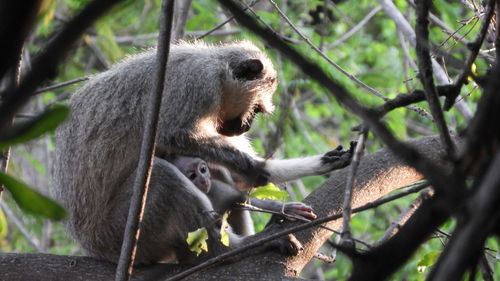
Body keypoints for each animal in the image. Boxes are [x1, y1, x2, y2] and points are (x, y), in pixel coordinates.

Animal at [169, 153, 316, 232]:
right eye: (192, 176)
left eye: (203, 170)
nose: (204, 180)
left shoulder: (216, 187)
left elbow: (242, 200)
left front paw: (283, 210)